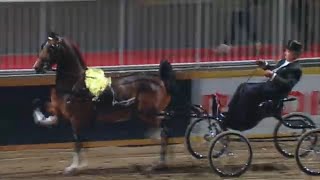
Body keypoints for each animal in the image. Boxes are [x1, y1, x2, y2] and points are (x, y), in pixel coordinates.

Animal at [32, 32, 176, 174]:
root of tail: (161, 81)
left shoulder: (76, 119)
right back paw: (164, 160)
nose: (36, 67)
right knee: (164, 131)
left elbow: (77, 141)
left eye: (51, 47)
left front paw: (73, 167)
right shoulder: (62, 113)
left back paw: (158, 164)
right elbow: (54, 122)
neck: (75, 84)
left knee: (163, 133)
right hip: (150, 114)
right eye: (42, 46)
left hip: (148, 113)